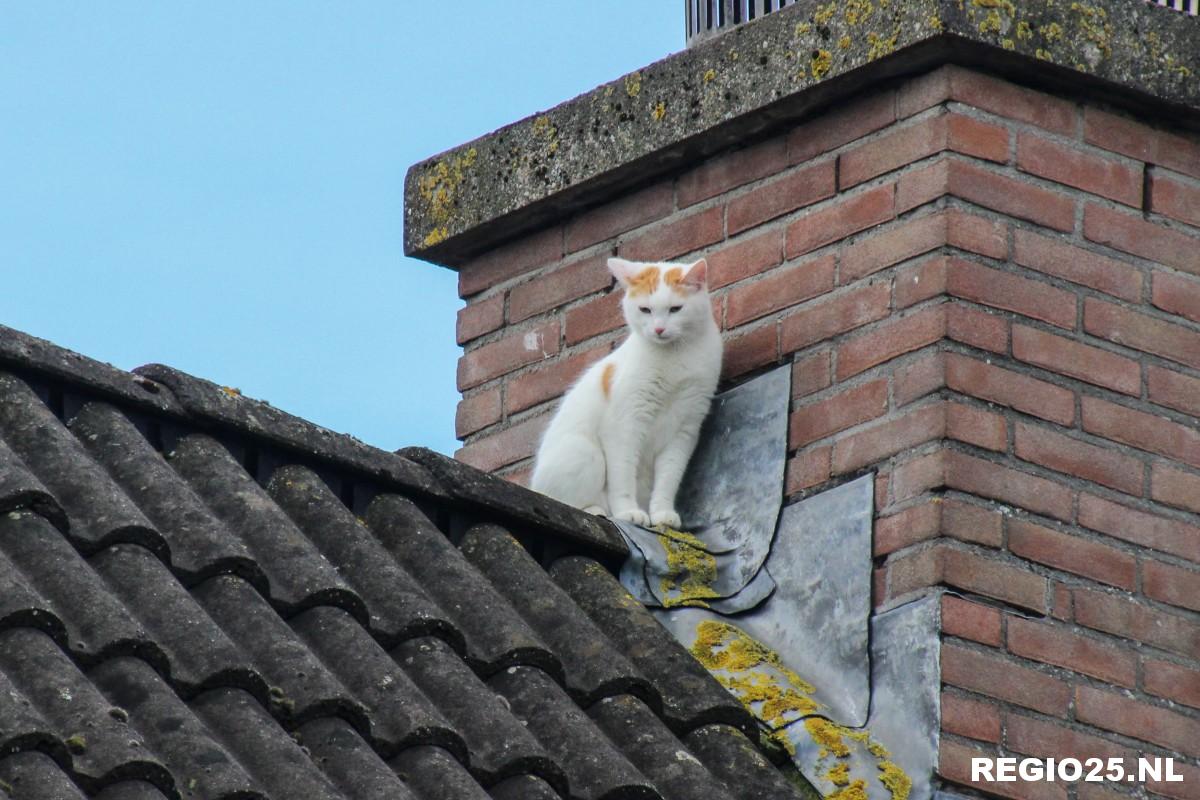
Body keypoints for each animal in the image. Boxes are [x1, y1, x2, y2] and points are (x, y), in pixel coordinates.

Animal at [528, 257, 715, 532]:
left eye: (675, 309)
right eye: (645, 310)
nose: (659, 329)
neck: (673, 358)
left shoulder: (685, 430)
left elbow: (669, 477)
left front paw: (662, 513)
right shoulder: (624, 426)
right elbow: (623, 474)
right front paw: (628, 512)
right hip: (584, 452)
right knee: (561, 500)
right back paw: (596, 511)